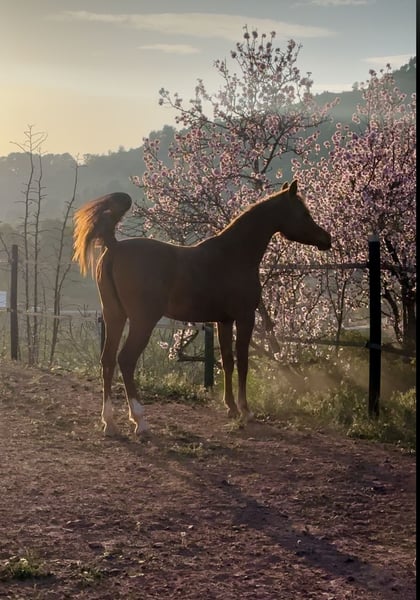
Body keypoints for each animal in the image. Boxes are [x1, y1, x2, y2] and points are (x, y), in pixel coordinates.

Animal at [73, 180, 331, 436]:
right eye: (303, 212)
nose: (326, 238)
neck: (234, 255)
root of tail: (114, 246)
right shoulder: (245, 318)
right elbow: (243, 361)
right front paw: (246, 411)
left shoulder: (224, 321)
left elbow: (227, 361)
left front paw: (231, 408)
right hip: (142, 321)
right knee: (126, 360)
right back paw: (140, 420)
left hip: (114, 317)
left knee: (107, 360)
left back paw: (109, 422)